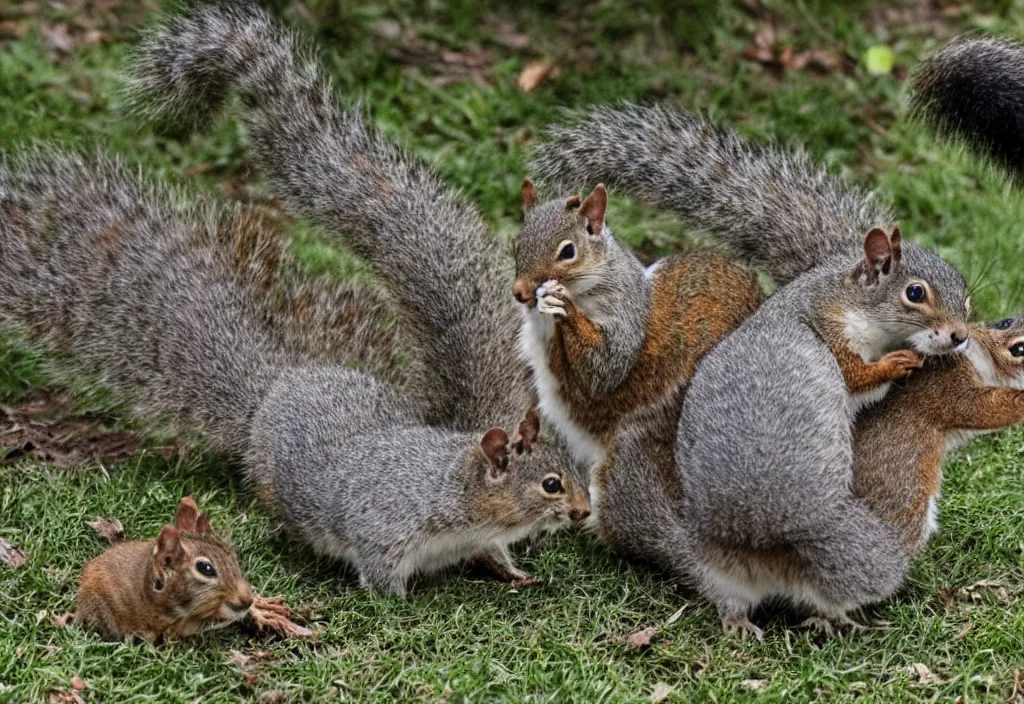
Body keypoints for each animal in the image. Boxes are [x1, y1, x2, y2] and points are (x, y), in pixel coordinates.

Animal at [0, 151, 589, 597]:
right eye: (551, 483)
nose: (584, 512)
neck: (458, 496)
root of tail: (278, 385)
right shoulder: (386, 527)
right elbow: (380, 572)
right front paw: (400, 604)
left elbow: (494, 553)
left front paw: (513, 571)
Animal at [532, 104, 970, 638]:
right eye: (915, 293)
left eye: (966, 297)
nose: (960, 335)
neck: (846, 296)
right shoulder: (827, 329)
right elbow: (855, 376)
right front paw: (900, 361)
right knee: (729, 598)